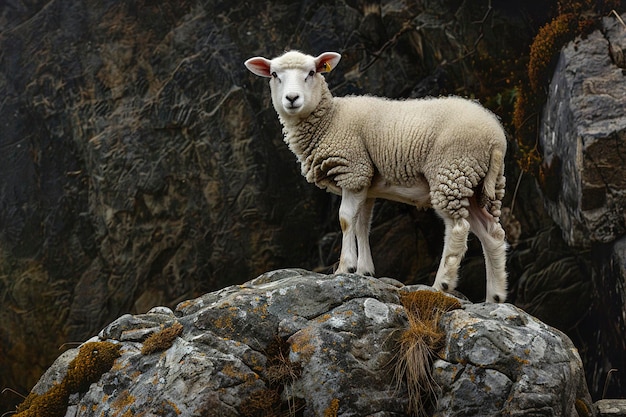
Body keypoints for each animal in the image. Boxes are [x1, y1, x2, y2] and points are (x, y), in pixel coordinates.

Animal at [244, 50, 508, 302]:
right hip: (476, 183)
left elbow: (345, 219)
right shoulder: (366, 184)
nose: (291, 99)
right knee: (492, 234)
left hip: (451, 172)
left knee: (458, 228)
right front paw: (364, 270)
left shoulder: (353, 169)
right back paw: (495, 297)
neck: (330, 119)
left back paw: (441, 284)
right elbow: (362, 225)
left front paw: (345, 267)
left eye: (311, 72)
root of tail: (496, 138)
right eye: (274, 75)